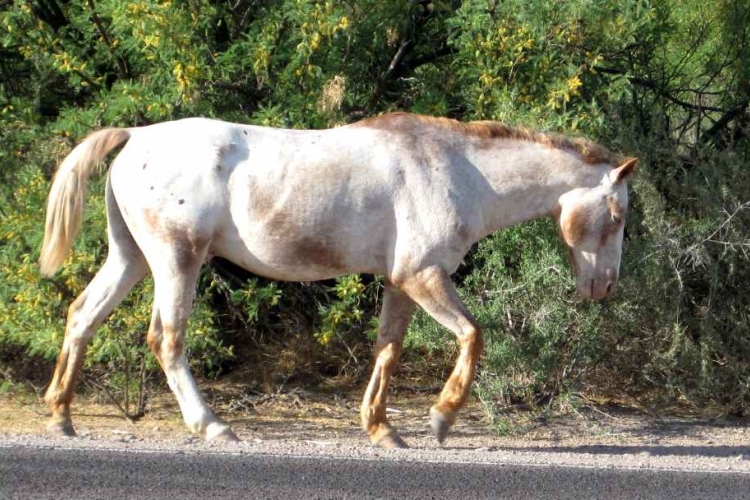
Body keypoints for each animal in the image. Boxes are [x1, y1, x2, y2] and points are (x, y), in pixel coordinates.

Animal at [38, 113, 636, 450]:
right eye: (619, 214)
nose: (603, 287)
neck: (461, 171)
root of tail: (135, 136)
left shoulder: (401, 282)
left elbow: (387, 351)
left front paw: (382, 429)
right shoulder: (423, 275)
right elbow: (472, 335)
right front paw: (440, 421)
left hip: (131, 257)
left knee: (82, 316)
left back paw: (62, 417)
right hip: (176, 260)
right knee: (167, 339)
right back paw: (212, 426)